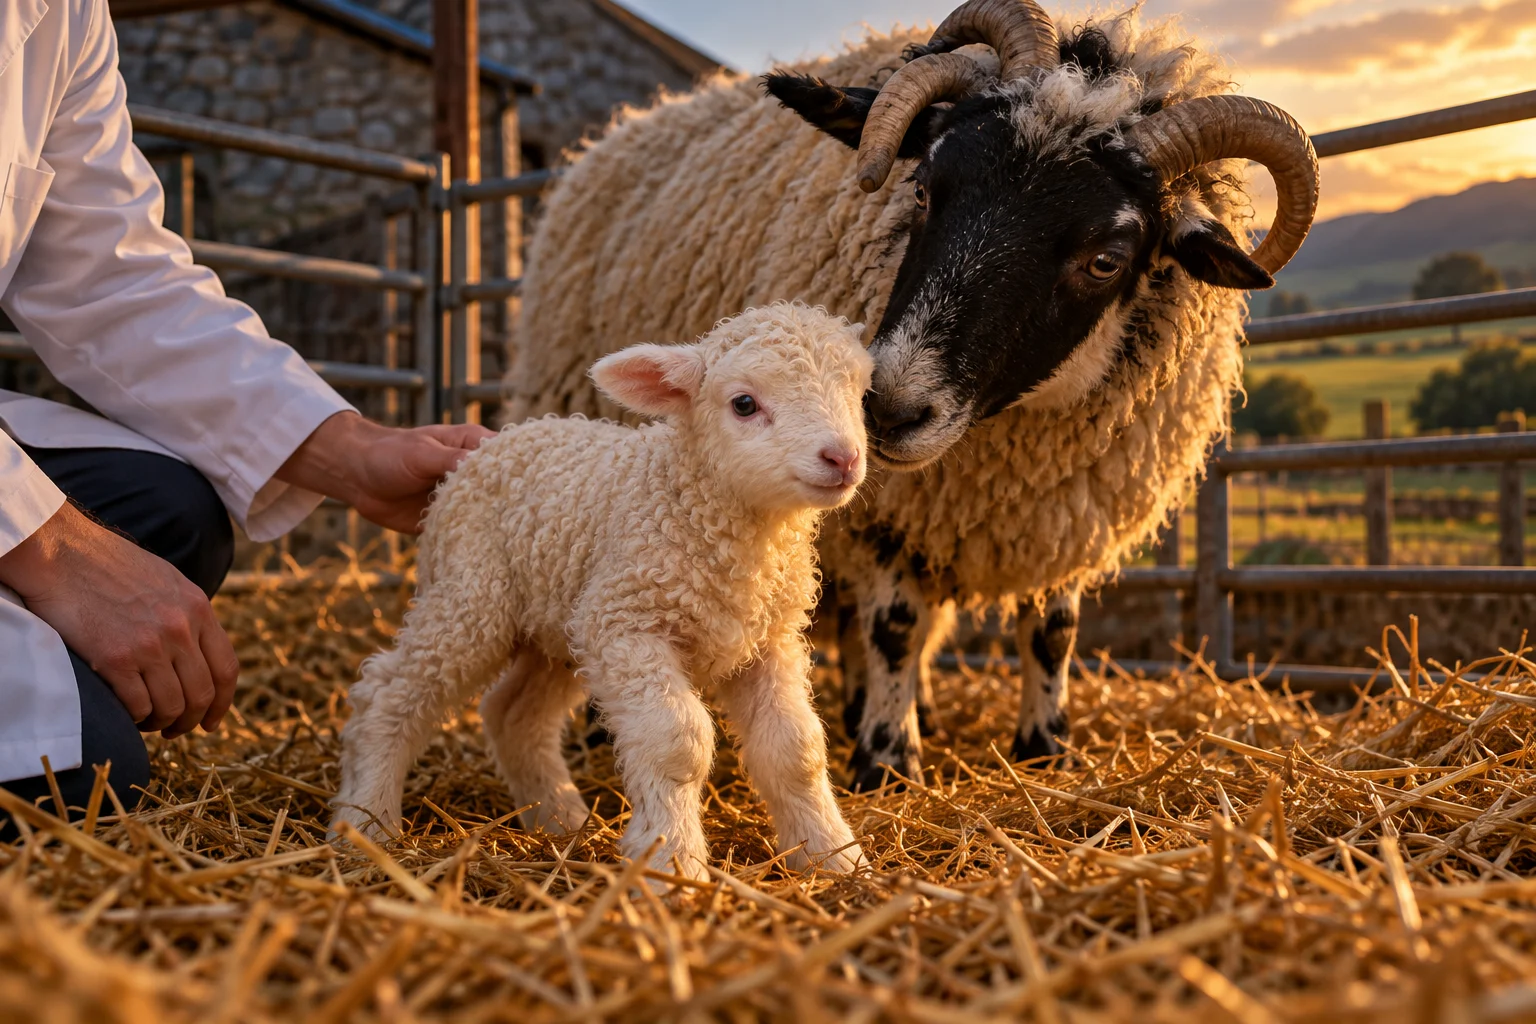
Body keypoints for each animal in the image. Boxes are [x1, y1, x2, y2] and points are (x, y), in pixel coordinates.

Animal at [333, 302, 873, 878]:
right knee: (387, 694)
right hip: (471, 594)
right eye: (744, 404)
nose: (842, 458)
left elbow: (796, 751)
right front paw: (672, 862)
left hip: (557, 628)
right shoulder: (624, 623)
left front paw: (836, 857)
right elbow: (677, 742)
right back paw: (365, 824)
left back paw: (560, 820)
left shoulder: (769, 641)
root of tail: (493, 443)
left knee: (512, 714)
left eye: (860, 394)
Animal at [501, 0, 1319, 789]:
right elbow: (895, 624)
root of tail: (611, 137)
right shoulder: (887, 513)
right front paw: (890, 763)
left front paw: (1045, 750)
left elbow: (1050, 633)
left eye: (1106, 259)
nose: (887, 411)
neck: (1016, 443)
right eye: (924, 189)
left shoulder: (1068, 511)